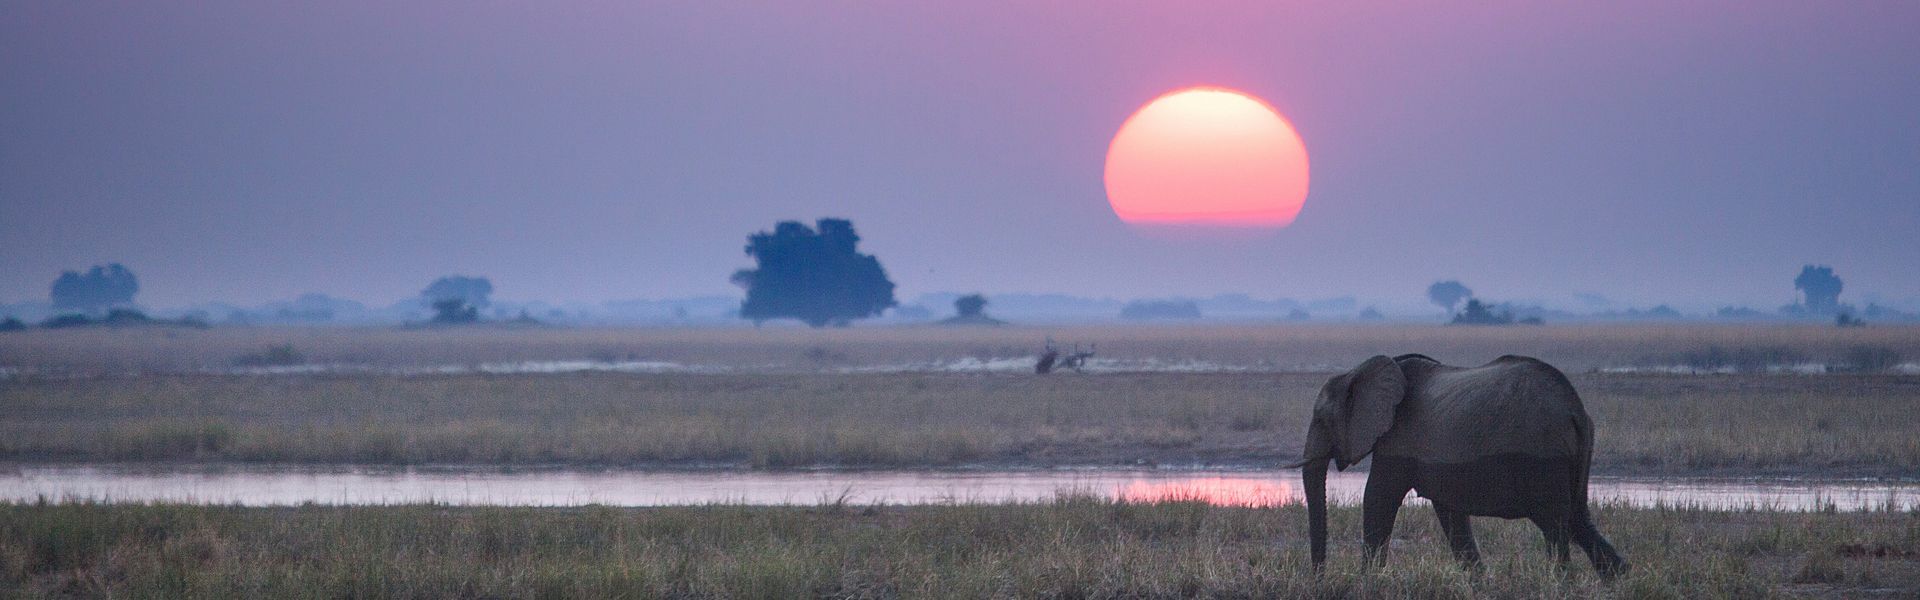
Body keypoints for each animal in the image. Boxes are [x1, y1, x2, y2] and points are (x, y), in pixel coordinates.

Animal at [1293, 353, 1627, 577]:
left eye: (1321, 420)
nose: (1319, 577)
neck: (1356, 372)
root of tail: (1574, 410)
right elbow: (1451, 515)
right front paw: (1481, 583)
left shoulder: (1397, 439)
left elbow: (1378, 498)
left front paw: (1367, 581)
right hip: (1578, 451)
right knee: (1577, 519)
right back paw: (1618, 578)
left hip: (1544, 455)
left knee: (1555, 525)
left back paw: (1562, 582)